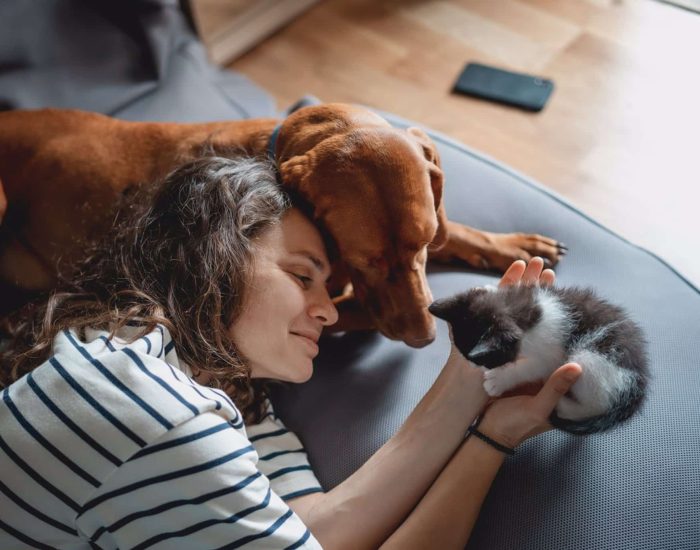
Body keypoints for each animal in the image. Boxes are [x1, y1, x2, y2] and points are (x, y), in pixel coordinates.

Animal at [0, 102, 564, 350]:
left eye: (423, 244)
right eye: (365, 259)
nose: (425, 339)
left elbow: (457, 229)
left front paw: (511, 243)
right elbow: (348, 312)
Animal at [430, 286, 648, 438]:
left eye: (487, 359)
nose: (474, 366)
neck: (526, 314)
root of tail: (637, 389)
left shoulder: (551, 355)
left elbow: (531, 368)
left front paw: (497, 380)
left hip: (591, 360)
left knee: (594, 403)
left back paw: (563, 404)